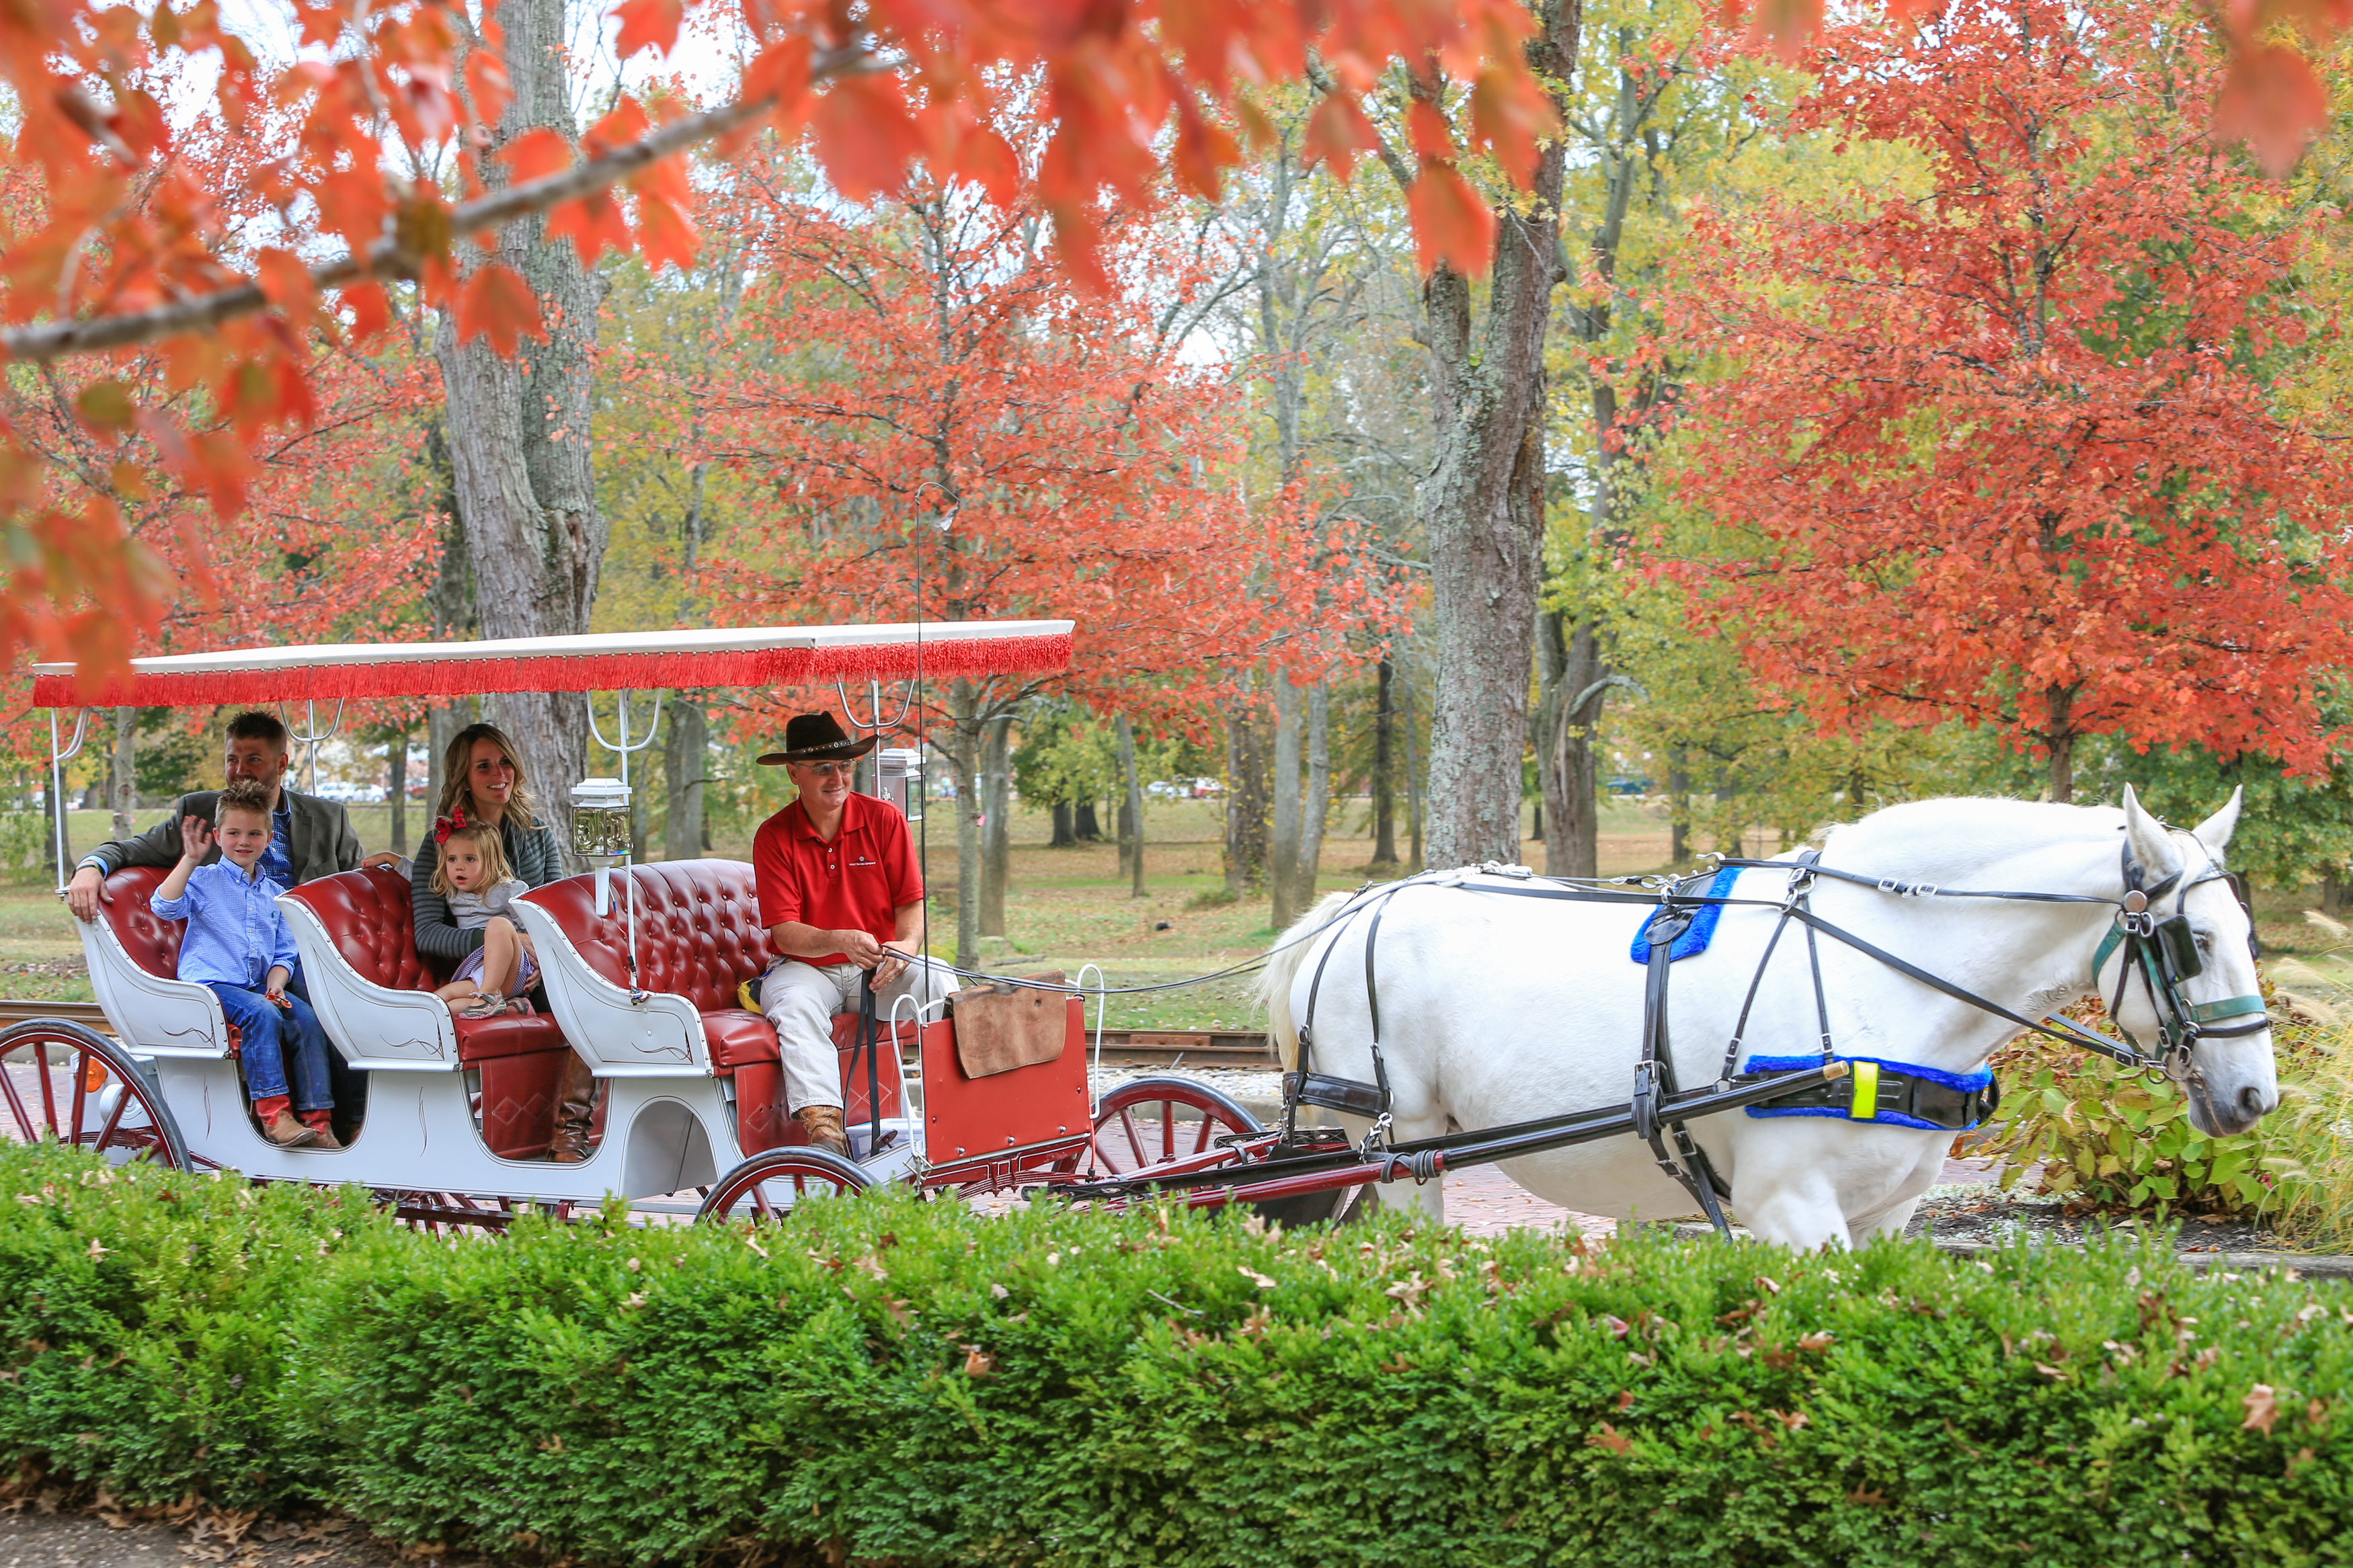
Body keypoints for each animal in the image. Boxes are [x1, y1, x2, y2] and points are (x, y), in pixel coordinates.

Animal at [1271, 799, 2278, 1250]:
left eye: (2246, 932)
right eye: (2190, 941)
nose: (2254, 1095)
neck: (1880, 971)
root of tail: (1353, 907)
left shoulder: (1884, 1216)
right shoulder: (1792, 1208)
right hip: (1400, 1143)